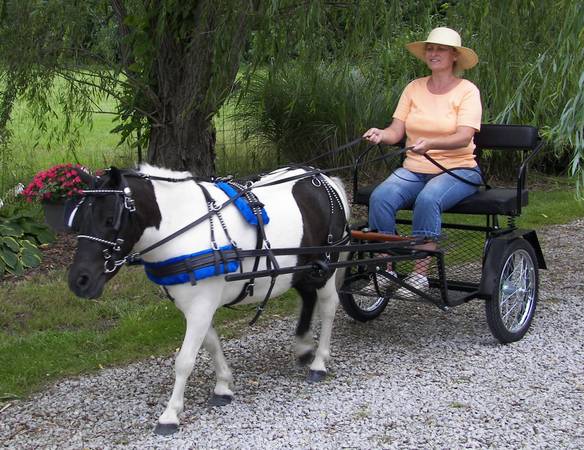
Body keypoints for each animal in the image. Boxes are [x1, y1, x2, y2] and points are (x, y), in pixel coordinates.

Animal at [68, 163, 352, 434]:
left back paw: (319, 362)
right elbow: (212, 344)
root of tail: (323, 178)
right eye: (78, 221)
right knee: (308, 297)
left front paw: (170, 414)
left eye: (110, 219)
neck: (183, 226)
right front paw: (223, 386)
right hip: (303, 268)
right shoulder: (194, 306)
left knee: (328, 307)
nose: (79, 281)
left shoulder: (200, 306)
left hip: (326, 265)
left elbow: (184, 360)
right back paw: (304, 346)